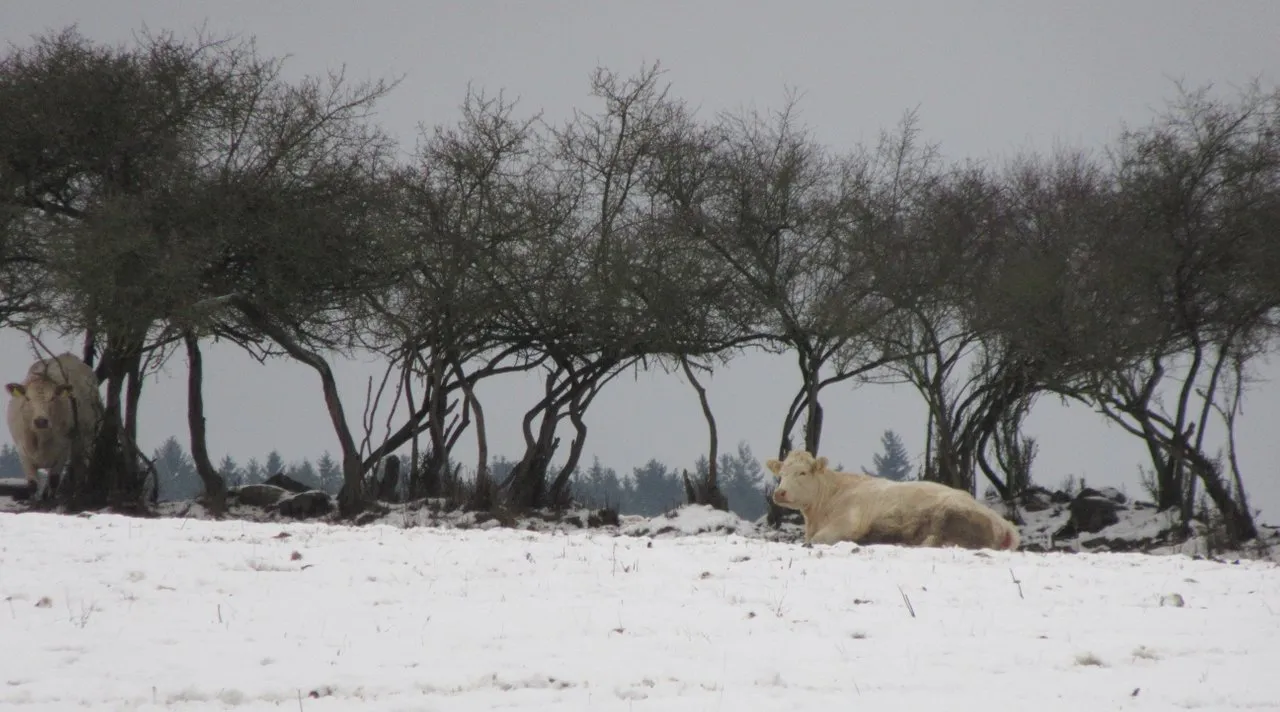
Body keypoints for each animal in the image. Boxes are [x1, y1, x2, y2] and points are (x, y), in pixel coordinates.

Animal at [4, 350, 103, 496]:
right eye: (27, 398)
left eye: (53, 398)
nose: (41, 421)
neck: (41, 439)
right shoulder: (23, 453)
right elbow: (32, 485)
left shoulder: (62, 451)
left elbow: (54, 481)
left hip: (85, 440)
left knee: (80, 467)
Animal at [768, 450, 1018, 550]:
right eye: (781, 474)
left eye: (802, 473)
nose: (780, 492)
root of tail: (1004, 524)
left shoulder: (846, 523)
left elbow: (816, 540)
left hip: (950, 515)